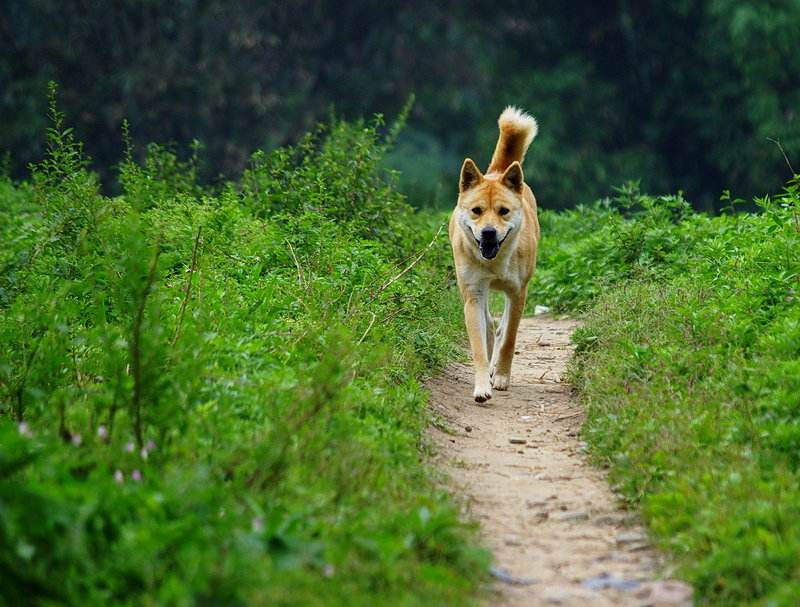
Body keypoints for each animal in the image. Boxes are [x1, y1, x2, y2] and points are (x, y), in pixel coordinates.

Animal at [446, 107, 540, 404]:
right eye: (476, 210)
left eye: (503, 211)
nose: (488, 233)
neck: (495, 261)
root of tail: (496, 172)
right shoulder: (474, 292)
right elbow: (478, 344)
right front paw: (481, 386)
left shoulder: (518, 291)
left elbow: (509, 337)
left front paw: (501, 377)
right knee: (488, 326)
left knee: (501, 329)